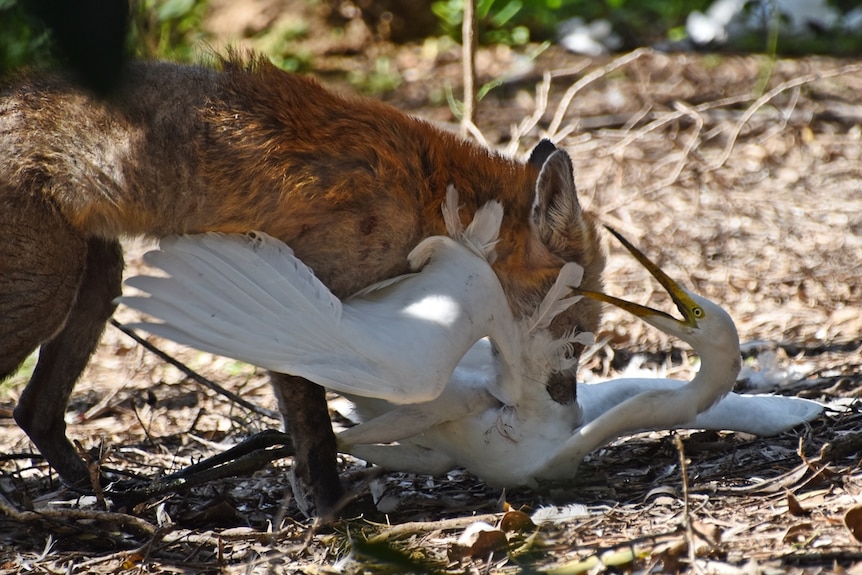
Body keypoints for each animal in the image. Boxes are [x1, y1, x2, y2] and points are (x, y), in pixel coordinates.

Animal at [1, 53, 608, 512]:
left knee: (33, 410)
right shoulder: (307, 298)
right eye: (577, 340)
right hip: (45, 292)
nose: (568, 406)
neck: (430, 202)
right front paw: (333, 508)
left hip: (97, 280)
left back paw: (104, 493)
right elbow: (316, 431)